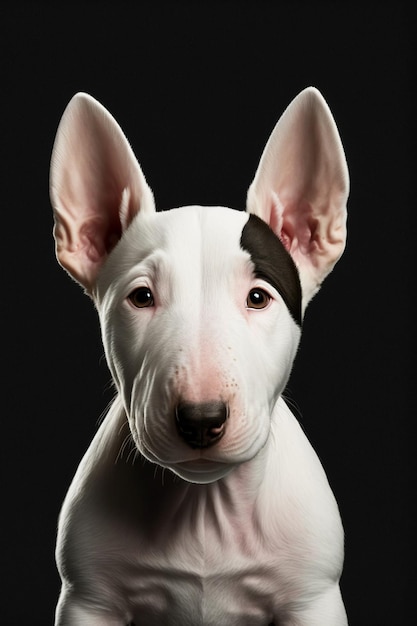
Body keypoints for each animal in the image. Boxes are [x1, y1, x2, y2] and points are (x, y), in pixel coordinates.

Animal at [50, 85, 350, 620]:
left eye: (259, 297)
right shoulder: (89, 601)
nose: (201, 419)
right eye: (142, 297)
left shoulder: (313, 600)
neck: (204, 509)